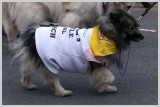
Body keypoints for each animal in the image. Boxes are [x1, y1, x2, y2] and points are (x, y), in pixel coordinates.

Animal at [2, 1, 135, 43]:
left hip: (8, 17)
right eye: (128, 6)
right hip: (33, 13)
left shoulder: (88, 16)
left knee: (10, 33)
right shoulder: (73, 14)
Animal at [10, 8, 144, 96]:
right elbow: (109, 76)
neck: (107, 34)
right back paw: (62, 92)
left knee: (26, 72)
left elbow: (105, 77)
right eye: (131, 28)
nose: (142, 37)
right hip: (50, 62)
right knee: (52, 79)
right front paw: (104, 86)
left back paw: (28, 85)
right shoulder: (96, 63)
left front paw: (107, 88)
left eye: (136, 26)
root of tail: (33, 32)